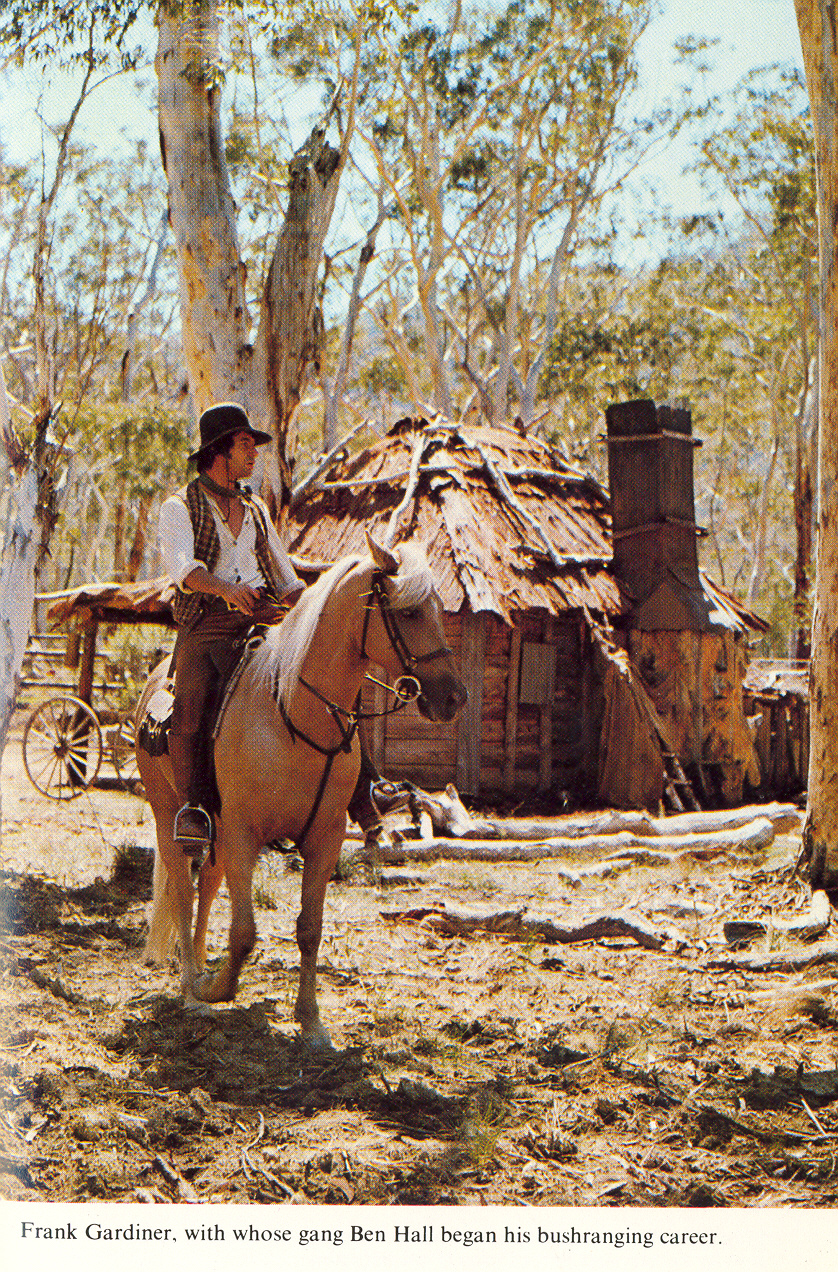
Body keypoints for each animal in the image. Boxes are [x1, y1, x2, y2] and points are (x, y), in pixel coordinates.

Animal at [137, 532, 467, 1047]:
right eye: (411, 612)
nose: (454, 698)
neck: (293, 712)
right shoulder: (244, 834)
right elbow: (245, 932)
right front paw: (218, 991)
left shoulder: (323, 838)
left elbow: (309, 929)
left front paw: (310, 1021)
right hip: (169, 812)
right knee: (183, 892)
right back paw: (192, 989)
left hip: (218, 830)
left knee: (207, 887)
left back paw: (203, 968)